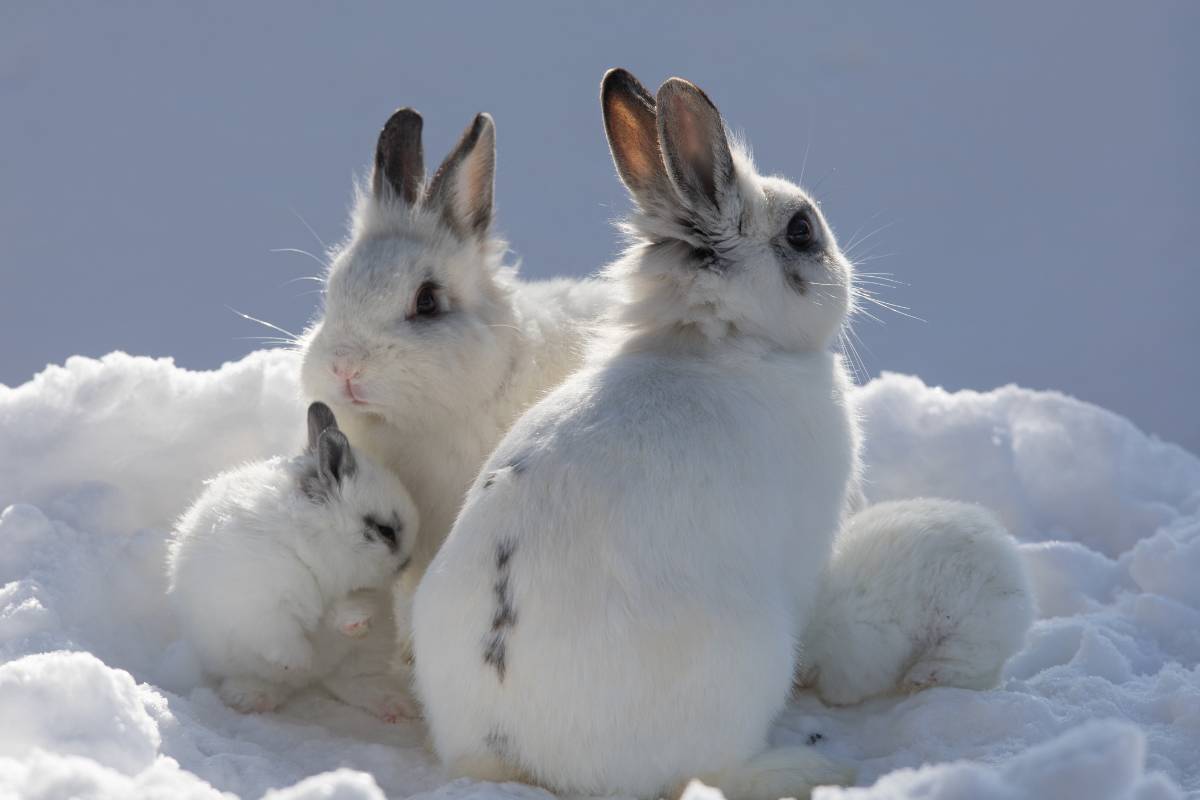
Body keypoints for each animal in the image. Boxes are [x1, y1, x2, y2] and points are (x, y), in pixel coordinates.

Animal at [167, 401, 419, 717]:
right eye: (385, 530)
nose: (408, 562)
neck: (314, 546)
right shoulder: (263, 602)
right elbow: (281, 634)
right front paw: (300, 661)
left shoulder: (360, 594)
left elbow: (347, 608)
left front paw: (355, 625)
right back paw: (252, 697)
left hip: (367, 655)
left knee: (353, 683)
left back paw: (394, 705)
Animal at [411, 69, 859, 799]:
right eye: (801, 230)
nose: (848, 274)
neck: (716, 343)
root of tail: (513, 751)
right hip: (751, 653)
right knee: (707, 770)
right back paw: (810, 764)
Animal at [796, 498, 1035, 706]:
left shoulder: (858, 643)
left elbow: (849, 681)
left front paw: (833, 699)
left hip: (966, 625)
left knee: (971, 661)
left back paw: (921, 677)